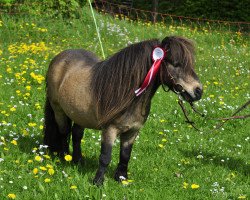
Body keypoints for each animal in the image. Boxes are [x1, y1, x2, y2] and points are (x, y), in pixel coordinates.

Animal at [44, 35, 202, 184]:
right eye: (175, 63)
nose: (198, 91)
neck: (128, 95)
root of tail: (59, 57)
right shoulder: (109, 130)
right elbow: (105, 157)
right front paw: (98, 182)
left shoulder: (132, 131)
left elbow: (125, 155)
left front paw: (122, 178)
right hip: (58, 110)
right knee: (64, 132)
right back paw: (65, 157)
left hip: (79, 114)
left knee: (77, 134)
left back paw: (78, 161)